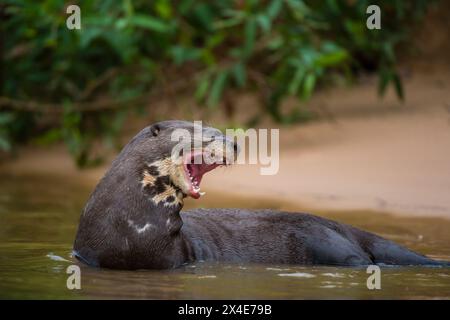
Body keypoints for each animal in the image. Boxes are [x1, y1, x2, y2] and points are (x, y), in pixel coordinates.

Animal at [74, 121, 446, 268]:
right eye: (207, 133)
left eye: (221, 131)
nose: (236, 144)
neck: (131, 226)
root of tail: (340, 224)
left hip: (326, 241)